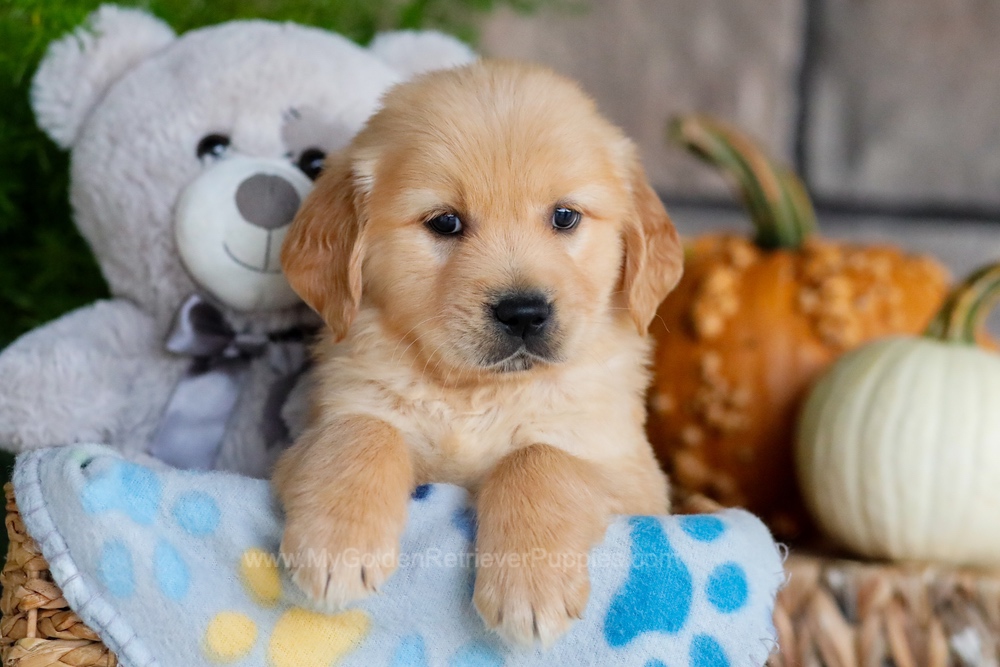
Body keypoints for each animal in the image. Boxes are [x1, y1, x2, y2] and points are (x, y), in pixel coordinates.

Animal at [270, 58, 684, 648]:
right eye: (445, 222)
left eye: (564, 217)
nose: (524, 313)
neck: (478, 392)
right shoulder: (305, 440)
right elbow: (362, 429)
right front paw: (337, 547)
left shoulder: (634, 477)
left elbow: (539, 456)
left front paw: (530, 587)